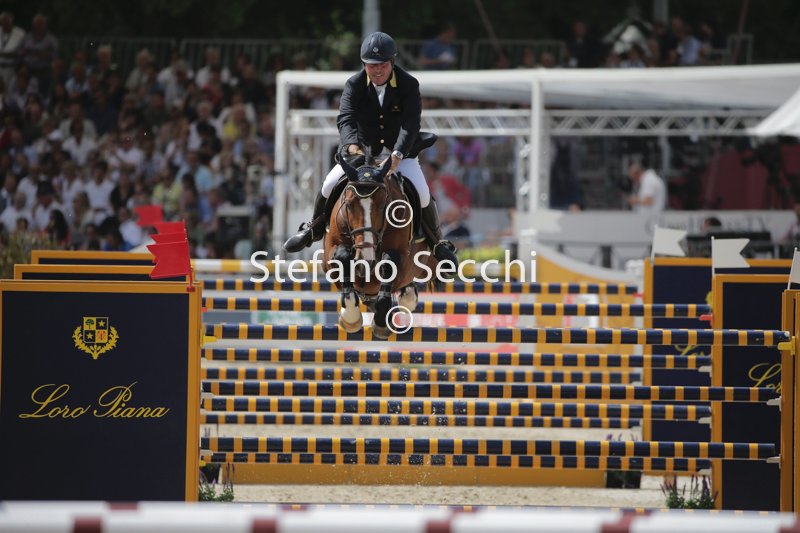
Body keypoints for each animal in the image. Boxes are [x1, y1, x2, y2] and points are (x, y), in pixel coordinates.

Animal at [322, 152, 437, 339]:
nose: (365, 261)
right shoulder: (330, 253)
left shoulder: (401, 258)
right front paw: (351, 317)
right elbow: (342, 256)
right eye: (348, 205)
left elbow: (389, 265)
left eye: (384, 205)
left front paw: (381, 323)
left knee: (407, 292)